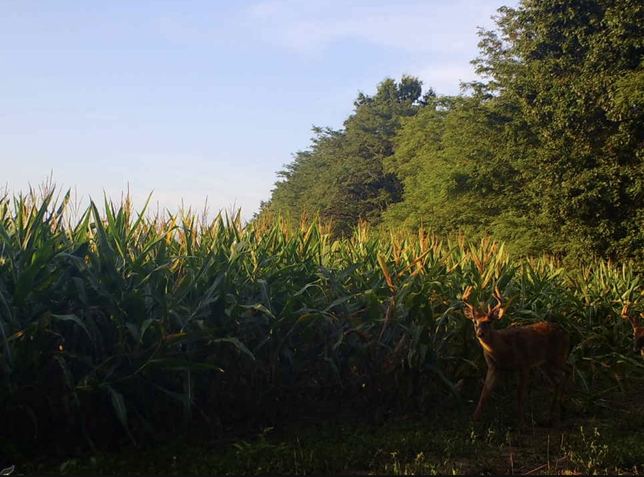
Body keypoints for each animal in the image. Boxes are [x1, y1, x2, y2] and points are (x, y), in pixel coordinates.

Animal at [462, 286, 571, 426]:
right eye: (475, 322)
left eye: (489, 322)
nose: (480, 333)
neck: (503, 349)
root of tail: (565, 332)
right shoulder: (493, 367)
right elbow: (484, 393)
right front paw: (474, 419)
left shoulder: (524, 364)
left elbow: (519, 395)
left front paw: (522, 423)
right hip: (545, 363)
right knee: (557, 381)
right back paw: (552, 416)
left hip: (557, 356)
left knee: (568, 370)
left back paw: (562, 411)